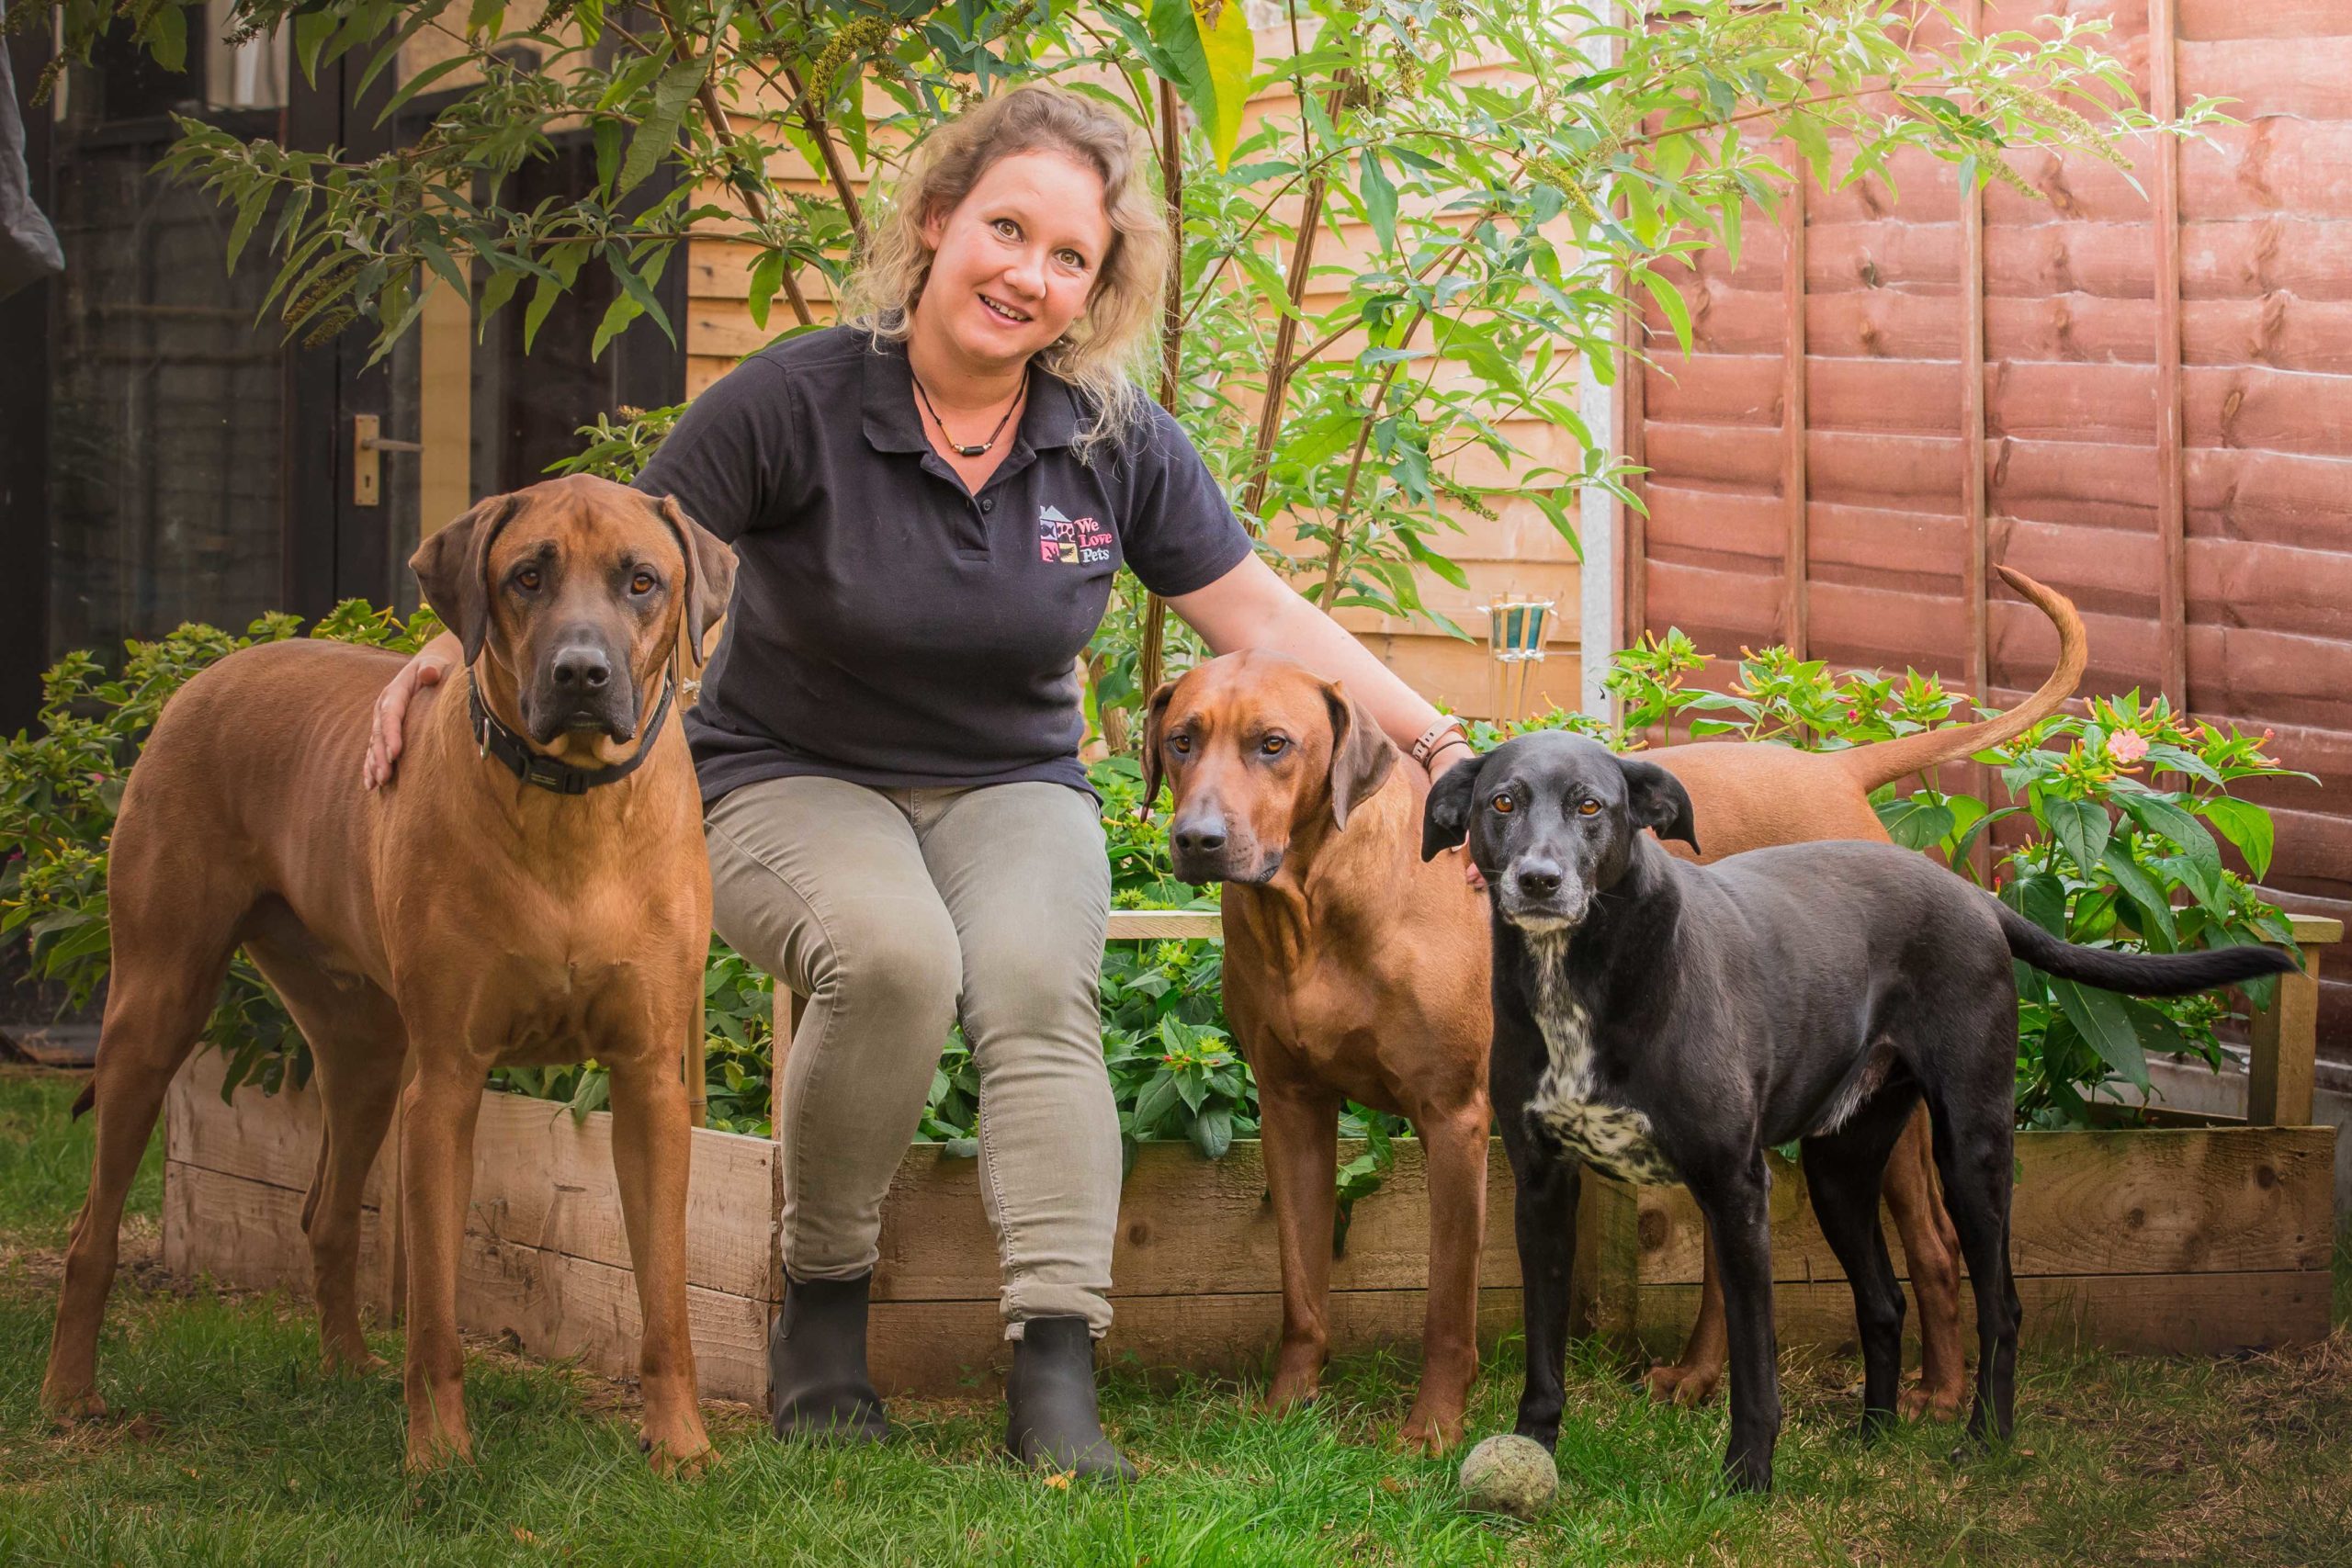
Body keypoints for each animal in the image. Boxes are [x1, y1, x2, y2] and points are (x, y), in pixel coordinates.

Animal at [39, 474, 733, 1476]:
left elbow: (667, 1303)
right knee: (90, 1230)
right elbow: (435, 1314)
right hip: (156, 1005)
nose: (581, 674)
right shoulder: (444, 1082)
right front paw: (439, 1457)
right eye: (527, 576)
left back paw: (345, 1366)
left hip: (362, 1047)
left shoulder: (648, 1082)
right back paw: (68, 1395)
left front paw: (680, 1447)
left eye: (642, 581)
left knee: (325, 1215)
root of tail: (207, 673)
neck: (570, 810)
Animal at [1148, 570, 2088, 1457]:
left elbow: (1447, 1305)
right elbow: (1301, 1287)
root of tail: (1833, 766)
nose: (1197, 840)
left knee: (1933, 1242)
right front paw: (1286, 1410)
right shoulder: (1290, 1106)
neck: (1312, 911)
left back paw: (1941, 1393)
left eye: (1275, 745)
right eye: (1181, 739)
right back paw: (1708, 1374)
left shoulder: (1454, 1118)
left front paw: (1431, 1430)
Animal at [1420, 738, 2286, 1495]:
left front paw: (1748, 1480)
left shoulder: (1735, 1188)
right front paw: (1532, 1449)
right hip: (1840, 1169)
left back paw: (1984, 1440)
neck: (1578, 976)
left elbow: (1755, 1364)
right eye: (1503, 801)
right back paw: (1876, 1433)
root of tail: (1975, 895)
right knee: (1884, 1299)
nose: (1539, 879)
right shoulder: (1542, 1186)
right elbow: (1544, 1348)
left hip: (1970, 1150)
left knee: (2000, 1303)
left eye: (1591, 805)